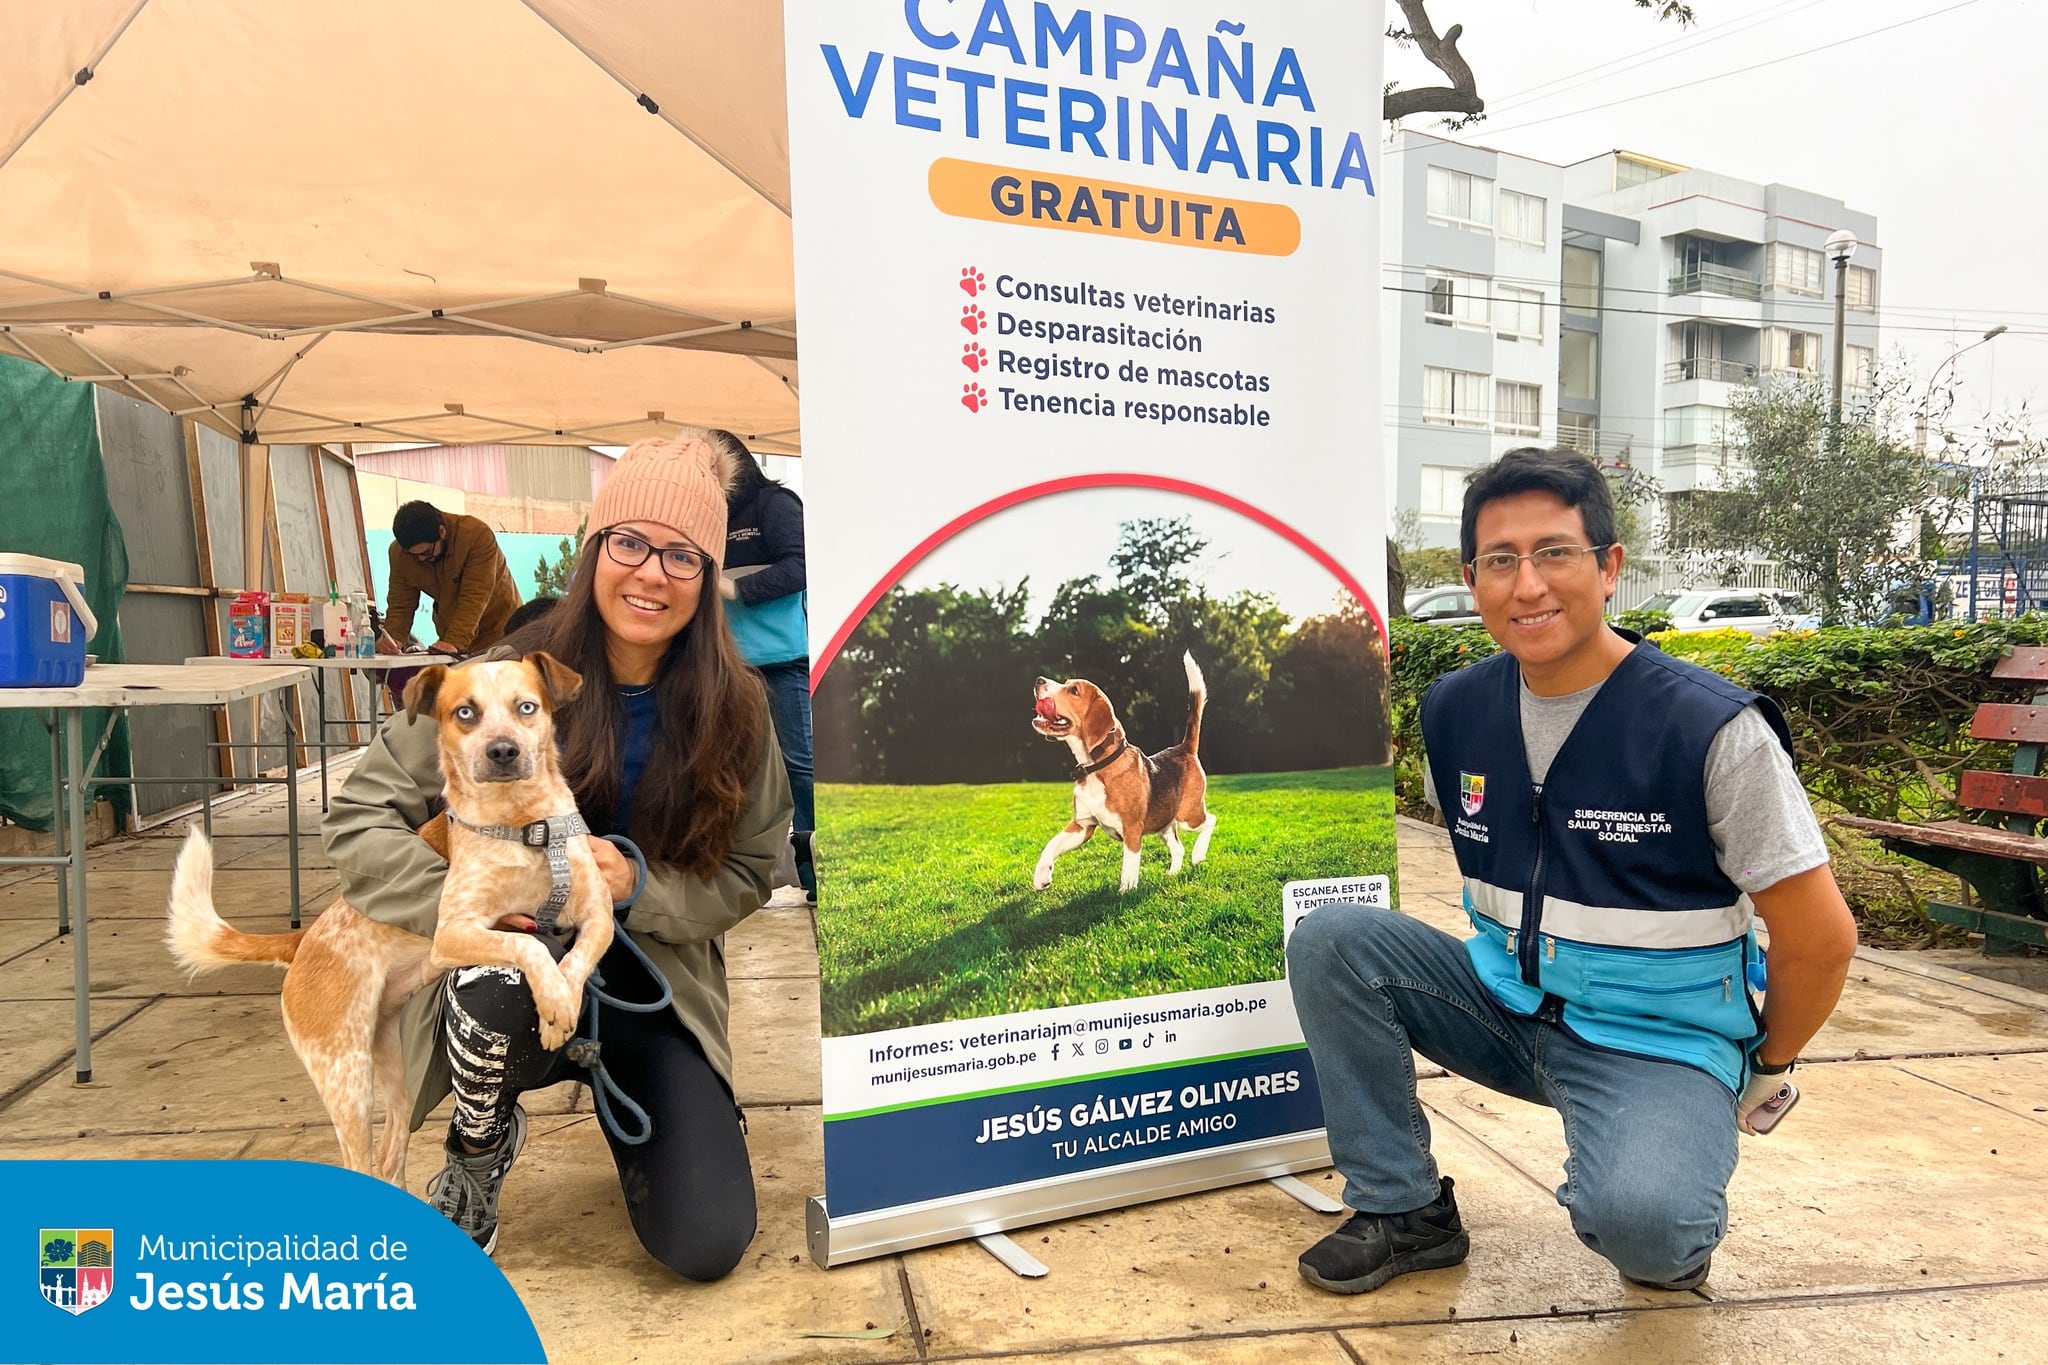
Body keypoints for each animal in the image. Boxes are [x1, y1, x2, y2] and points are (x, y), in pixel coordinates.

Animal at [163, 654, 610, 1186]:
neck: (524, 825)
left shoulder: (598, 913)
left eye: (527, 707)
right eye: (465, 713)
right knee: (361, 1158)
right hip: (347, 1078)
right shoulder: (453, 932)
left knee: (390, 1156)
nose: (503, 751)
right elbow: (531, 944)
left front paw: (563, 1001)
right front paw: (555, 1001)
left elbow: (576, 958)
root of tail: (304, 940)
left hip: (395, 1076)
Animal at [1032, 654, 1204, 896]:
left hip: (1188, 815)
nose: (1038, 680)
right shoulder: (1083, 825)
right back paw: (1172, 873)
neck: (1096, 768)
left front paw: (1126, 891)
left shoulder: (1131, 829)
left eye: (1074, 690)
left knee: (1210, 821)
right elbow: (1051, 844)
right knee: (1178, 848)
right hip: (1165, 823)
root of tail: (1184, 748)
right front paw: (1041, 876)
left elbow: (1129, 864)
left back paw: (1199, 853)